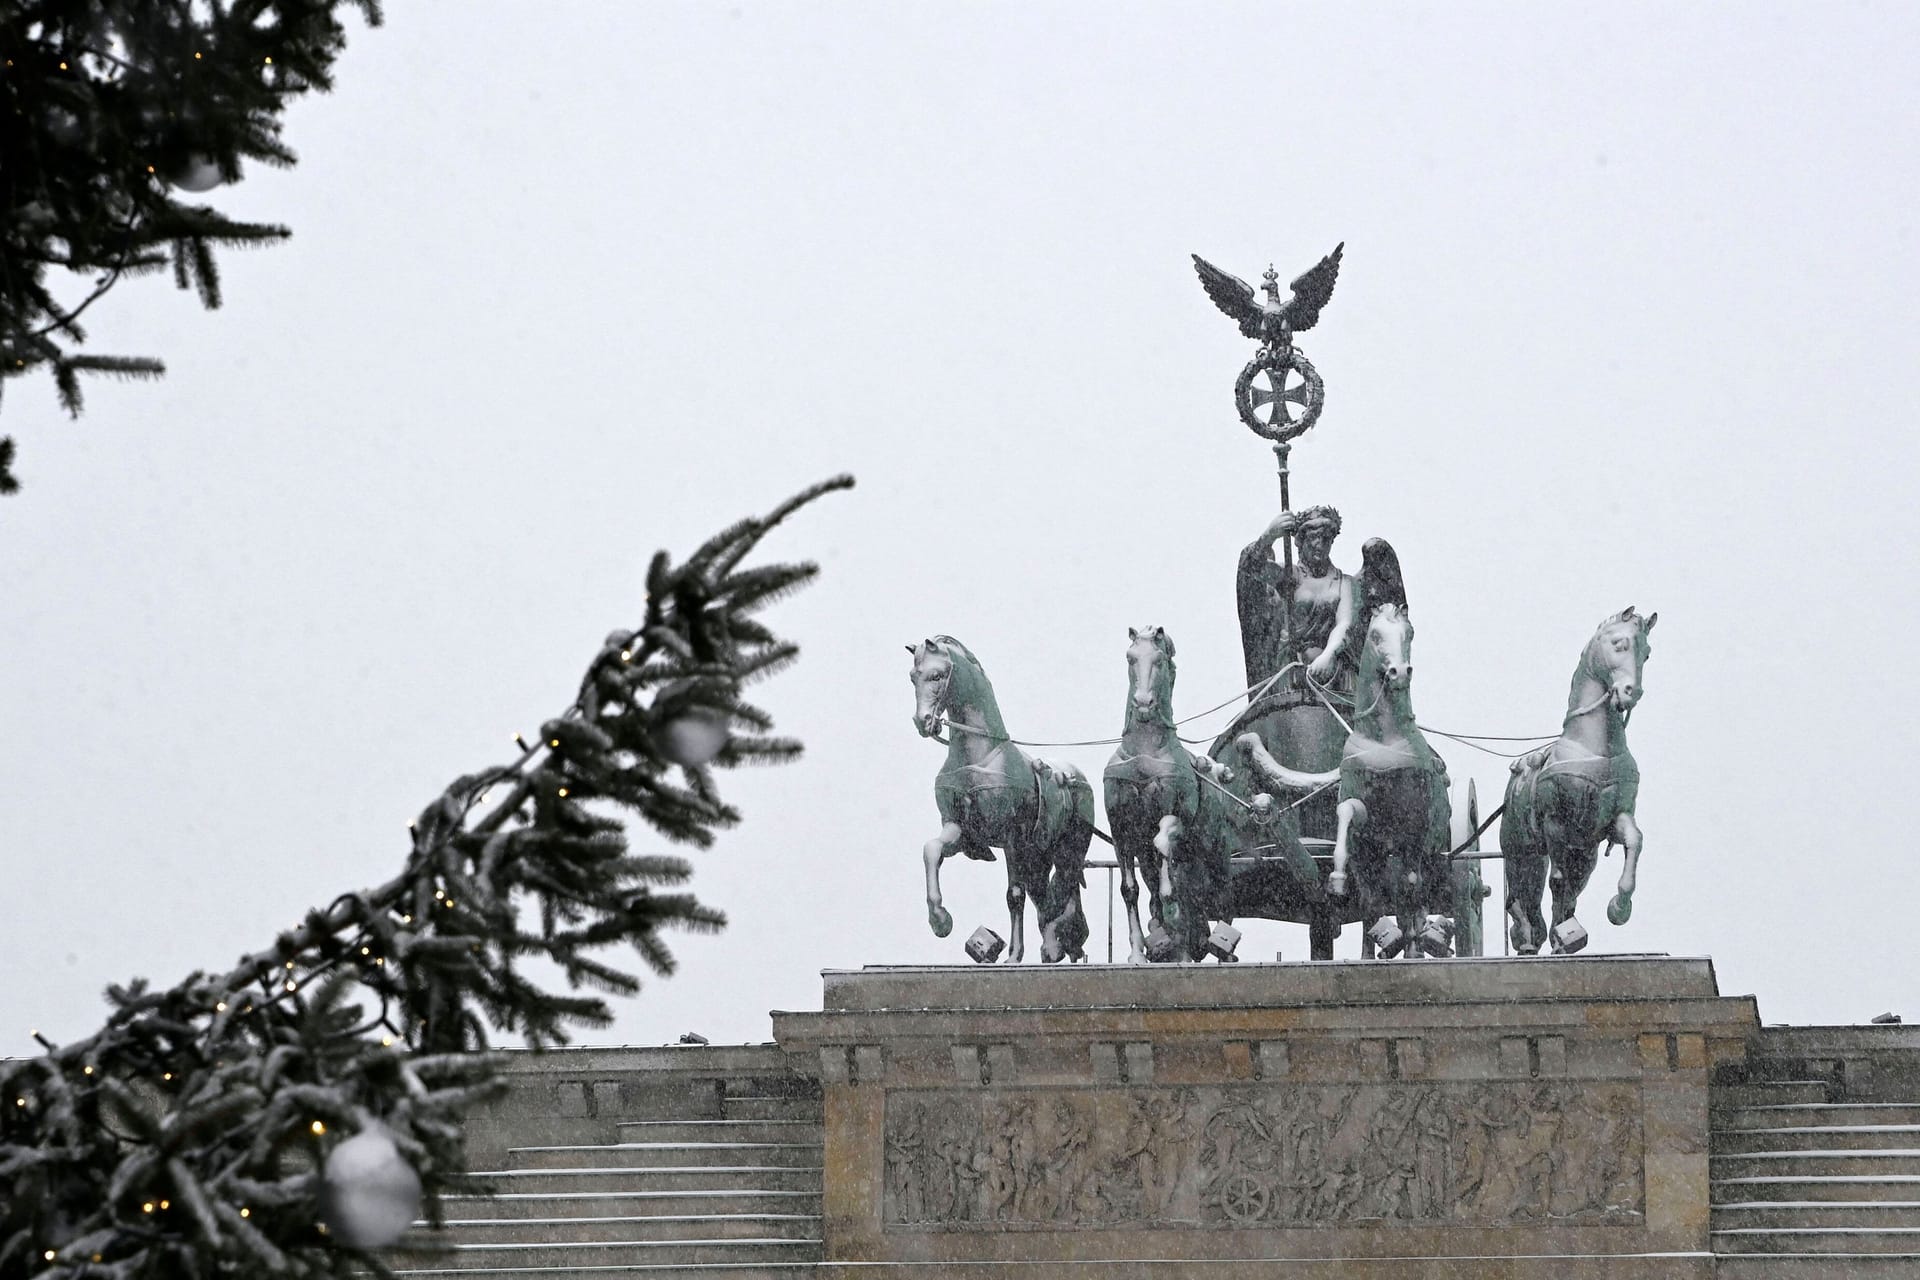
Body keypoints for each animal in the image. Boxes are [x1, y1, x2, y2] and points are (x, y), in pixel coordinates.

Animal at [906, 637, 1090, 959]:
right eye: (912, 677)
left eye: (937, 675)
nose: (922, 721)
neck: (979, 753)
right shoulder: (959, 828)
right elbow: (932, 850)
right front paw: (940, 920)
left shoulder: (1012, 837)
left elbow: (1014, 895)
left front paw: (1014, 955)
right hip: (1038, 856)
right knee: (1045, 897)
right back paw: (1055, 946)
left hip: (1067, 851)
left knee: (1061, 891)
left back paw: (1057, 943)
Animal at [1497, 610, 1651, 951]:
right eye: (1619, 643)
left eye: (1646, 653)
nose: (1632, 692)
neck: (1595, 748)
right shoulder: (1556, 823)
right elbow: (1558, 882)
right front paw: (1563, 934)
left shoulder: (1610, 822)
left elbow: (1635, 840)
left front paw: (1619, 907)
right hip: (1520, 848)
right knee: (1517, 896)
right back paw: (1527, 938)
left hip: (1582, 856)